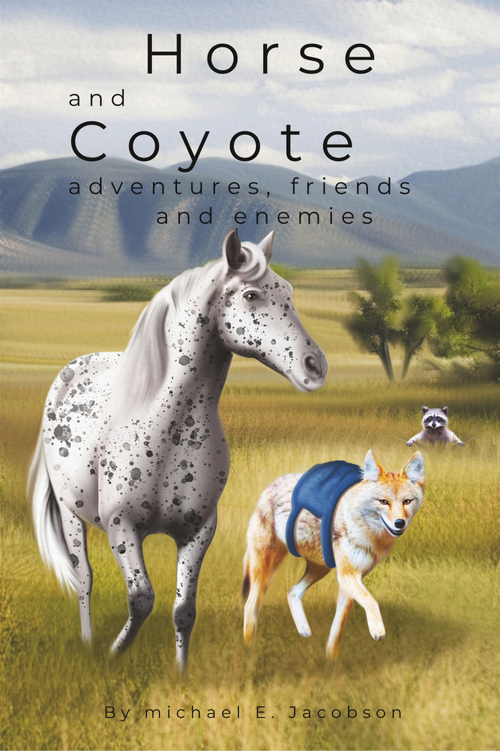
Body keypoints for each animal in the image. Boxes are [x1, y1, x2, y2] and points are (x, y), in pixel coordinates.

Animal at [29, 228, 328, 670]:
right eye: (251, 295)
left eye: (289, 291)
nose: (315, 365)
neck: (169, 429)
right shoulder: (122, 527)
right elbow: (141, 598)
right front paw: (113, 655)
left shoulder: (199, 529)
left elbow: (184, 610)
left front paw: (181, 671)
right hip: (70, 513)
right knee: (83, 577)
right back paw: (87, 641)